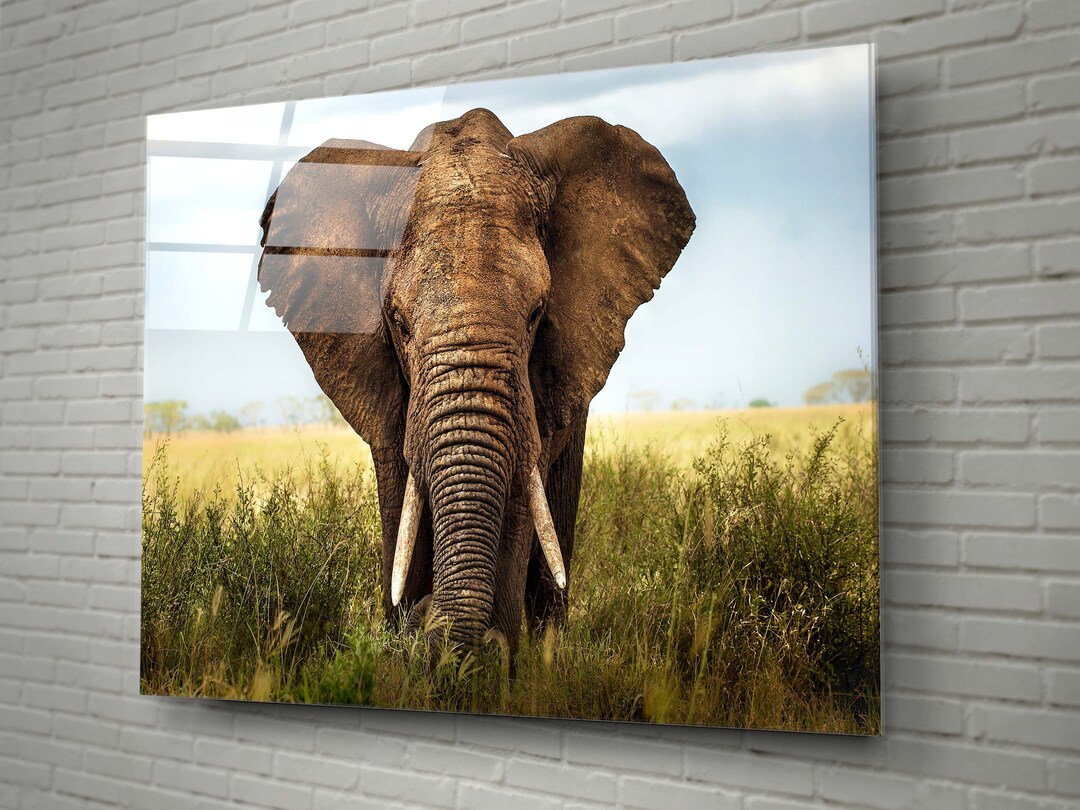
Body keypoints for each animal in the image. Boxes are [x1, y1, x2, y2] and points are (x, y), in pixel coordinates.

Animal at [257, 107, 695, 657]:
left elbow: (518, 503)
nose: (424, 618)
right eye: (397, 322)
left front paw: (489, 658)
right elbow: (402, 503)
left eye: (537, 314)